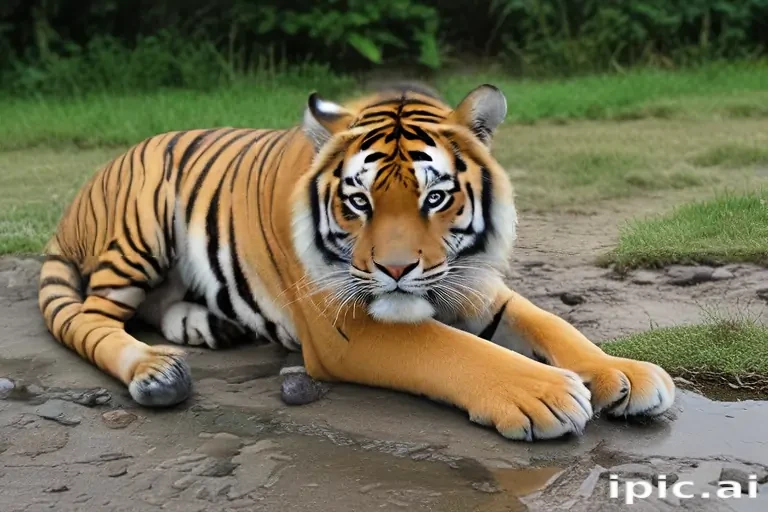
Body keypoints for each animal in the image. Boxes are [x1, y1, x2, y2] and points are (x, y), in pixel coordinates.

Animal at [37, 83, 675, 441]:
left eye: (435, 197)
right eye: (359, 201)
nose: (395, 271)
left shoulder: (470, 280)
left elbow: (551, 324)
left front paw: (624, 372)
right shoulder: (345, 325)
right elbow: (455, 349)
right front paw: (544, 393)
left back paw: (208, 326)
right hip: (140, 226)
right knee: (90, 317)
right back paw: (155, 371)